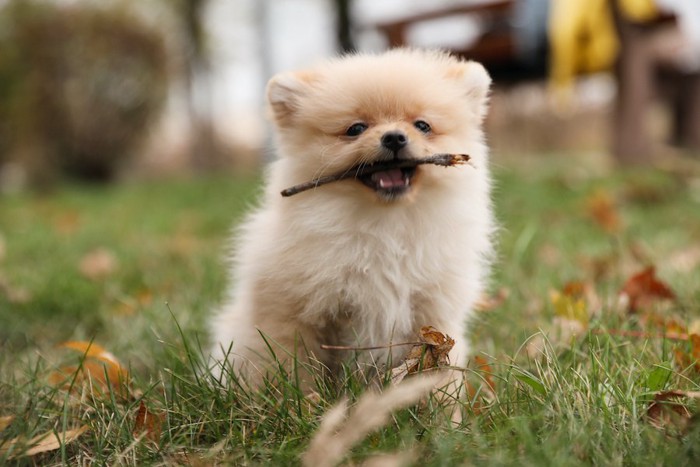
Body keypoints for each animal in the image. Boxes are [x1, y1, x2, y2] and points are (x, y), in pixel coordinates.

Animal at [211, 49, 494, 390]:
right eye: (356, 129)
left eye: (422, 125)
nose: (394, 137)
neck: (386, 225)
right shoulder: (294, 314)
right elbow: (293, 367)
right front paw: (298, 401)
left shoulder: (433, 313)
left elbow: (435, 370)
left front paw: (443, 406)